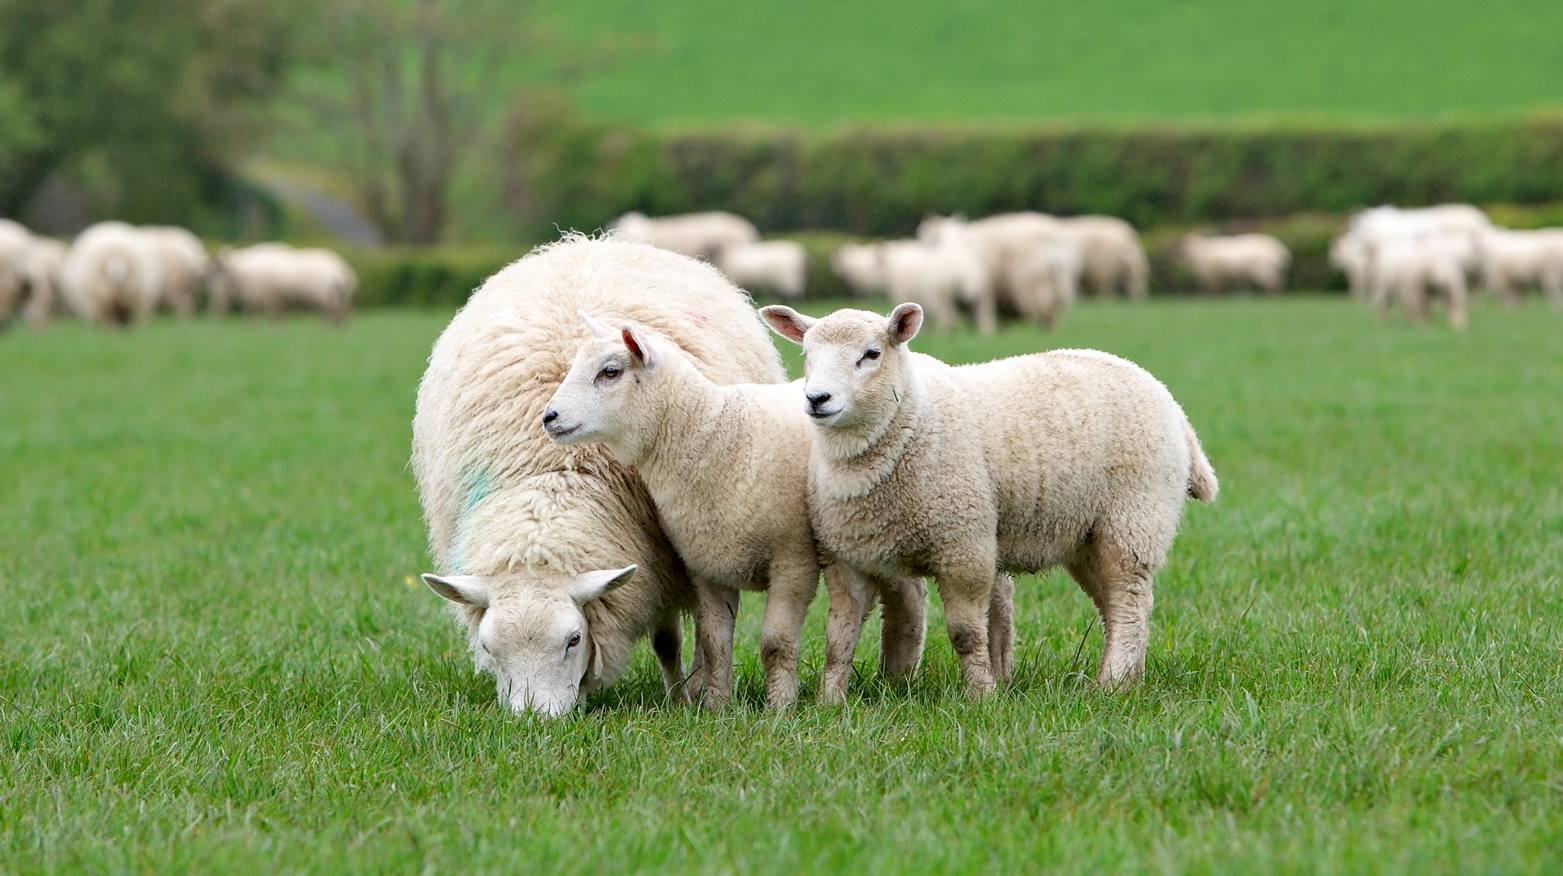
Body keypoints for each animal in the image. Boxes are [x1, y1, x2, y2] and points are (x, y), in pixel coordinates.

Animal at [412, 236, 794, 716]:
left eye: (574, 640)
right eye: (487, 646)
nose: (533, 721)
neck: (550, 479)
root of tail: (590, 241)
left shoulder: (662, 562)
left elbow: (672, 640)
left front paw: (682, 700)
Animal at [547, 315, 925, 713]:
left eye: (610, 371)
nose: (548, 417)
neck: (717, 437)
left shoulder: (794, 560)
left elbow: (775, 642)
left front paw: (780, 708)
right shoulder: (706, 564)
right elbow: (714, 642)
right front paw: (717, 707)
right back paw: (897, 676)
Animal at [762, 300, 1212, 697]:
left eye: (871, 354)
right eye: (807, 355)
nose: (817, 399)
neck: (911, 420)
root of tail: (1168, 399)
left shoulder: (966, 545)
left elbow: (965, 634)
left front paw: (982, 695)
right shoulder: (847, 558)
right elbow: (838, 639)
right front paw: (829, 704)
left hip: (1135, 518)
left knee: (1130, 604)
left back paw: (1110, 685)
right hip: (1088, 536)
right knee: (1118, 607)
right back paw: (1129, 680)